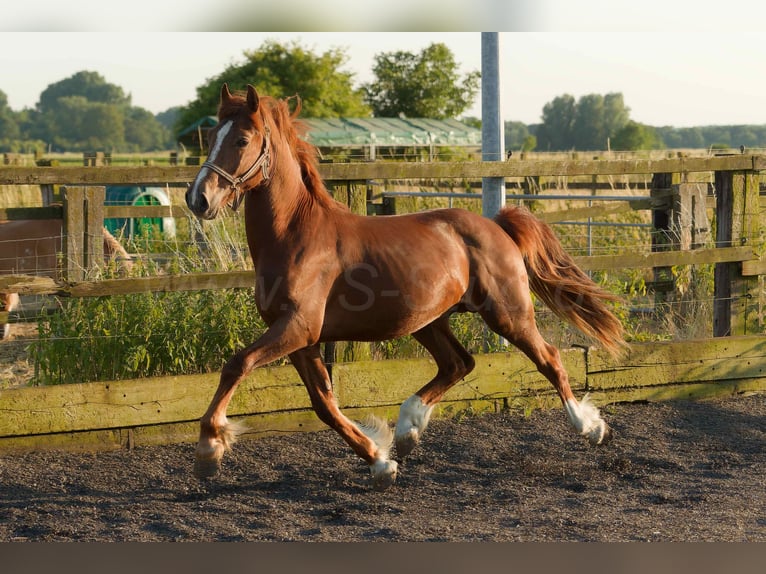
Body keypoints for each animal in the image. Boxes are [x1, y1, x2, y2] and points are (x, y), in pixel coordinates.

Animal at [185, 84, 625, 490]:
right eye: (212, 136)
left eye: (242, 140)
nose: (198, 198)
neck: (296, 235)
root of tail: (496, 225)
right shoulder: (300, 339)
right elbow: (324, 404)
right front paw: (380, 461)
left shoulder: (298, 327)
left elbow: (237, 364)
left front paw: (209, 448)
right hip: (429, 320)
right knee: (458, 364)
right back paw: (408, 430)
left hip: (507, 312)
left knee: (548, 358)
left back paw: (591, 428)